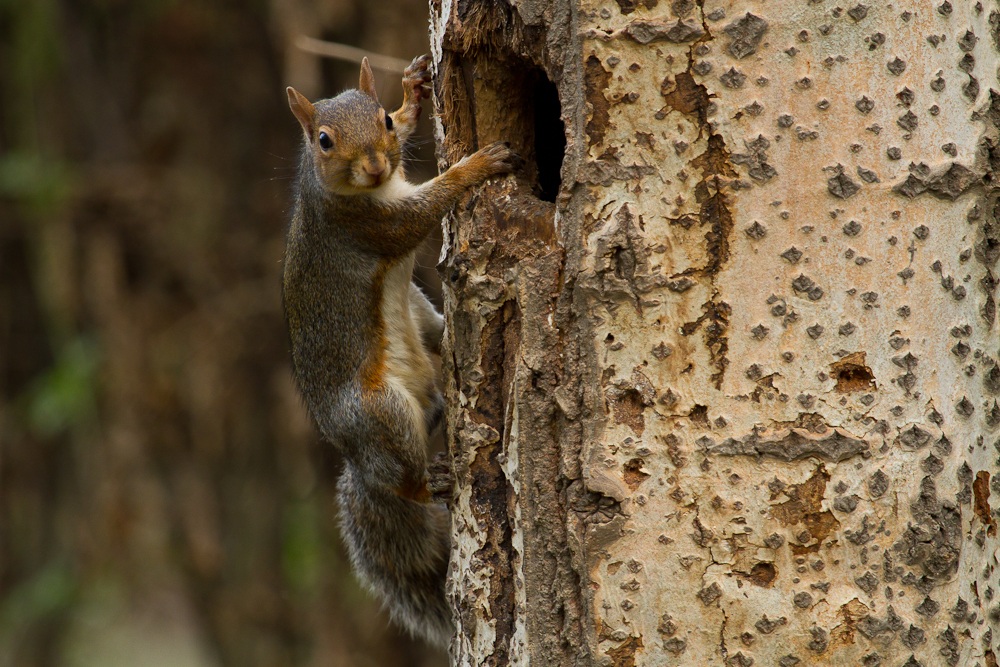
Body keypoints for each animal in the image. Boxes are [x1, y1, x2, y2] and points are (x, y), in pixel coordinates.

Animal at [282, 55, 519, 647]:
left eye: (383, 121)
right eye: (323, 140)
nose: (373, 167)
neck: (372, 191)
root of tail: (360, 465)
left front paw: (413, 94)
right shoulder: (369, 225)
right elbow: (427, 206)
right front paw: (477, 164)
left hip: (417, 313)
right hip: (380, 413)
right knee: (409, 485)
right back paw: (434, 479)